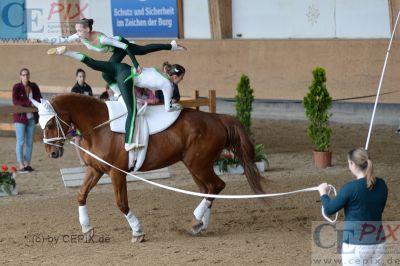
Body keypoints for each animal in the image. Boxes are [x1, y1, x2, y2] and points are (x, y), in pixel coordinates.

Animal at [37, 94, 264, 242]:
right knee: (207, 190)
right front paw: (86, 229)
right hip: (196, 166)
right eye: (41, 125)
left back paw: (197, 221)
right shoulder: (96, 170)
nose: (51, 153)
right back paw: (199, 224)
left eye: (50, 124)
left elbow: (121, 203)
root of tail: (216, 117)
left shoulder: (116, 173)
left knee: (216, 186)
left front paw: (137, 232)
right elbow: (81, 194)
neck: (99, 127)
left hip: (198, 164)